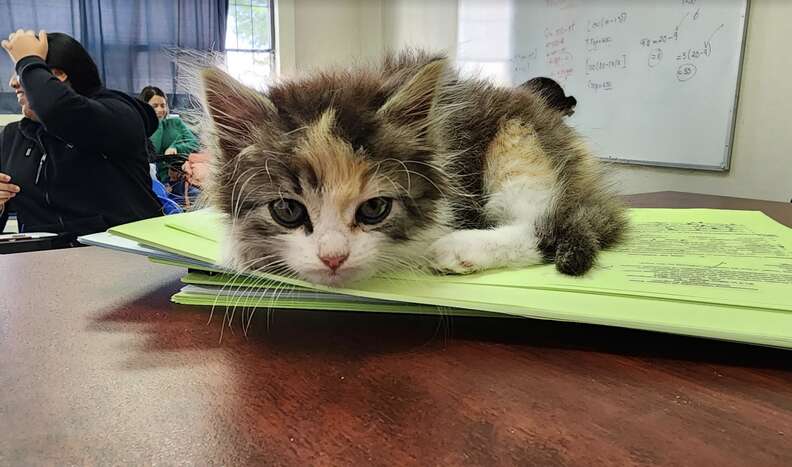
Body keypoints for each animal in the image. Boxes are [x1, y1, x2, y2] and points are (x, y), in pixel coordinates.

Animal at [198, 50, 624, 286]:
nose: (333, 258)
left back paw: (460, 248)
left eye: (374, 208)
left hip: (519, 140)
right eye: (287, 210)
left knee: (541, 223)